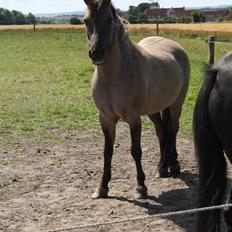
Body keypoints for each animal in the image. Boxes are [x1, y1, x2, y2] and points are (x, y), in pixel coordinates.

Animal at [84, 0, 189, 199]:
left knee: (173, 129)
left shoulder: (134, 119)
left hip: (176, 104)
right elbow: (107, 151)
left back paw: (174, 166)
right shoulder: (106, 119)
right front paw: (102, 187)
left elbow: (136, 151)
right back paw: (162, 168)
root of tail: (175, 46)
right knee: (162, 131)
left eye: (109, 20)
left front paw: (141, 187)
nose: (96, 53)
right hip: (154, 109)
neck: (113, 77)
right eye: (86, 20)